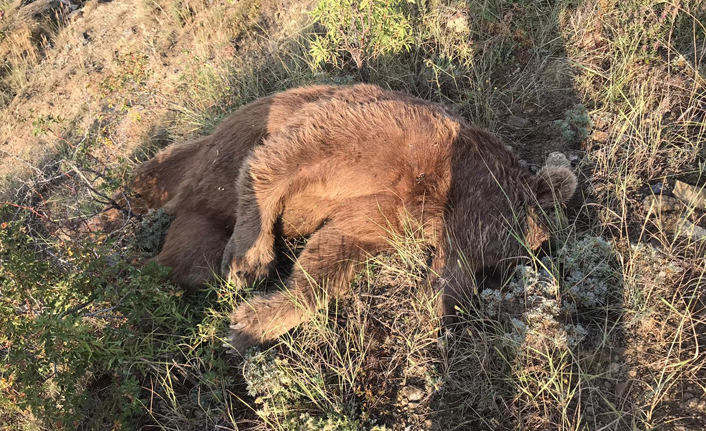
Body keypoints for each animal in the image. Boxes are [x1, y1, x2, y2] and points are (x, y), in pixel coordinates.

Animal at [126, 83, 576, 354]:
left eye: (491, 272)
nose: (448, 315)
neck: (437, 192)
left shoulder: (382, 216)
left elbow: (329, 257)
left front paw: (249, 324)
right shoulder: (384, 136)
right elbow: (283, 158)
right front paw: (251, 261)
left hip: (198, 219)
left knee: (188, 260)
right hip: (214, 150)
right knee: (167, 172)